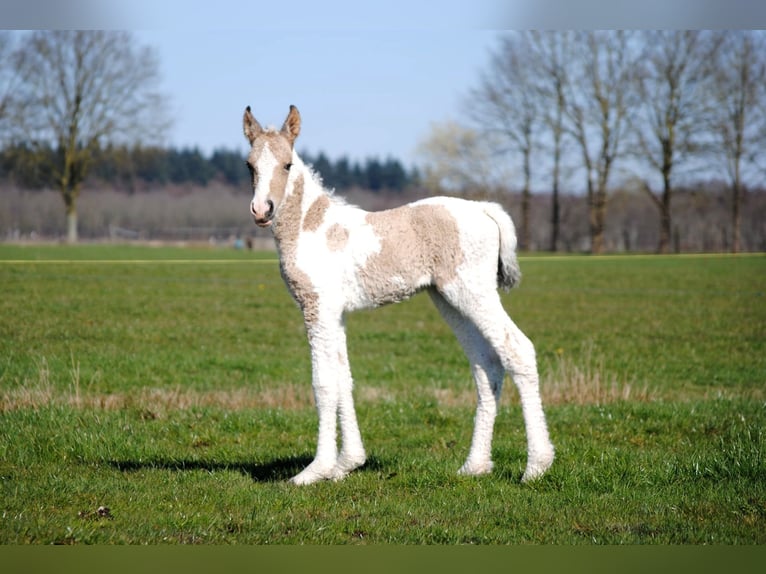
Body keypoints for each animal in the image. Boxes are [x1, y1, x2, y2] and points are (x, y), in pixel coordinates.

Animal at [243, 104, 554, 485]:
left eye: (287, 164)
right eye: (250, 165)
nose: (262, 210)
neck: (312, 227)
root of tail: (483, 208)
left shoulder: (318, 308)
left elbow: (324, 383)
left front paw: (315, 470)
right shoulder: (336, 314)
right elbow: (344, 379)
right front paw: (348, 463)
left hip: (472, 292)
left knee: (518, 350)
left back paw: (536, 466)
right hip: (449, 301)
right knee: (487, 366)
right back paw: (474, 466)